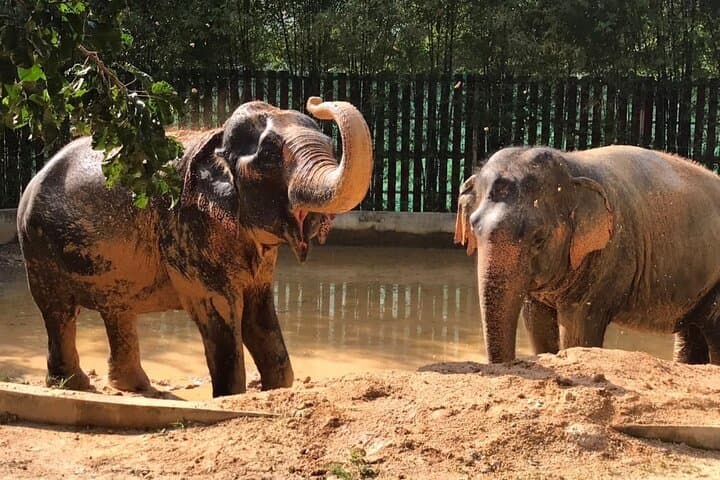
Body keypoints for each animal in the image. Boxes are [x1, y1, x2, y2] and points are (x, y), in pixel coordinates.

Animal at [17, 97, 373, 397]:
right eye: (270, 156)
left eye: (331, 146)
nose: (316, 101)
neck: (216, 139)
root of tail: (36, 175)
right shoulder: (187, 229)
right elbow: (220, 311)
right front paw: (229, 397)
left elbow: (259, 314)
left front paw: (275, 389)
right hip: (38, 246)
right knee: (59, 309)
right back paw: (73, 386)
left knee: (117, 308)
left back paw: (135, 388)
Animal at [454, 145, 720, 365]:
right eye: (474, 228)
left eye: (539, 238)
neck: (572, 165)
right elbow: (536, 322)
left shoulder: (609, 257)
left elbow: (578, 331)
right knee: (692, 331)